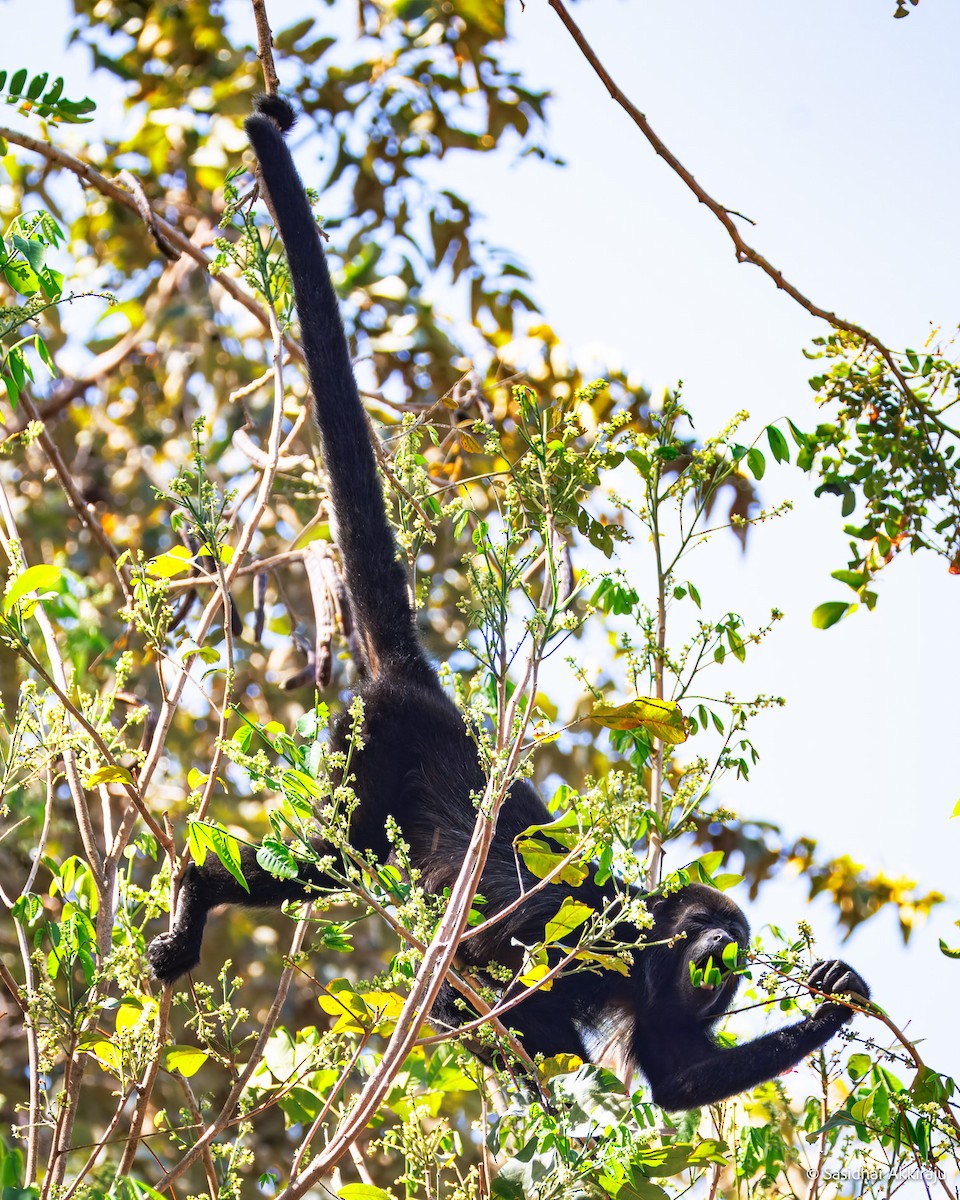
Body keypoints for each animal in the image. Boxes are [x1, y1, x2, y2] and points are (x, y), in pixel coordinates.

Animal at [146, 95, 870, 1109]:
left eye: (737, 945)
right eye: (703, 929)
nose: (722, 952)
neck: (643, 952)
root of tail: (427, 693)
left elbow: (677, 1075)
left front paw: (841, 994)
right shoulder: (584, 909)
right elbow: (474, 956)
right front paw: (495, 1032)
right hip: (371, 746)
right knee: (326, 858)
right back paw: (199, 893)